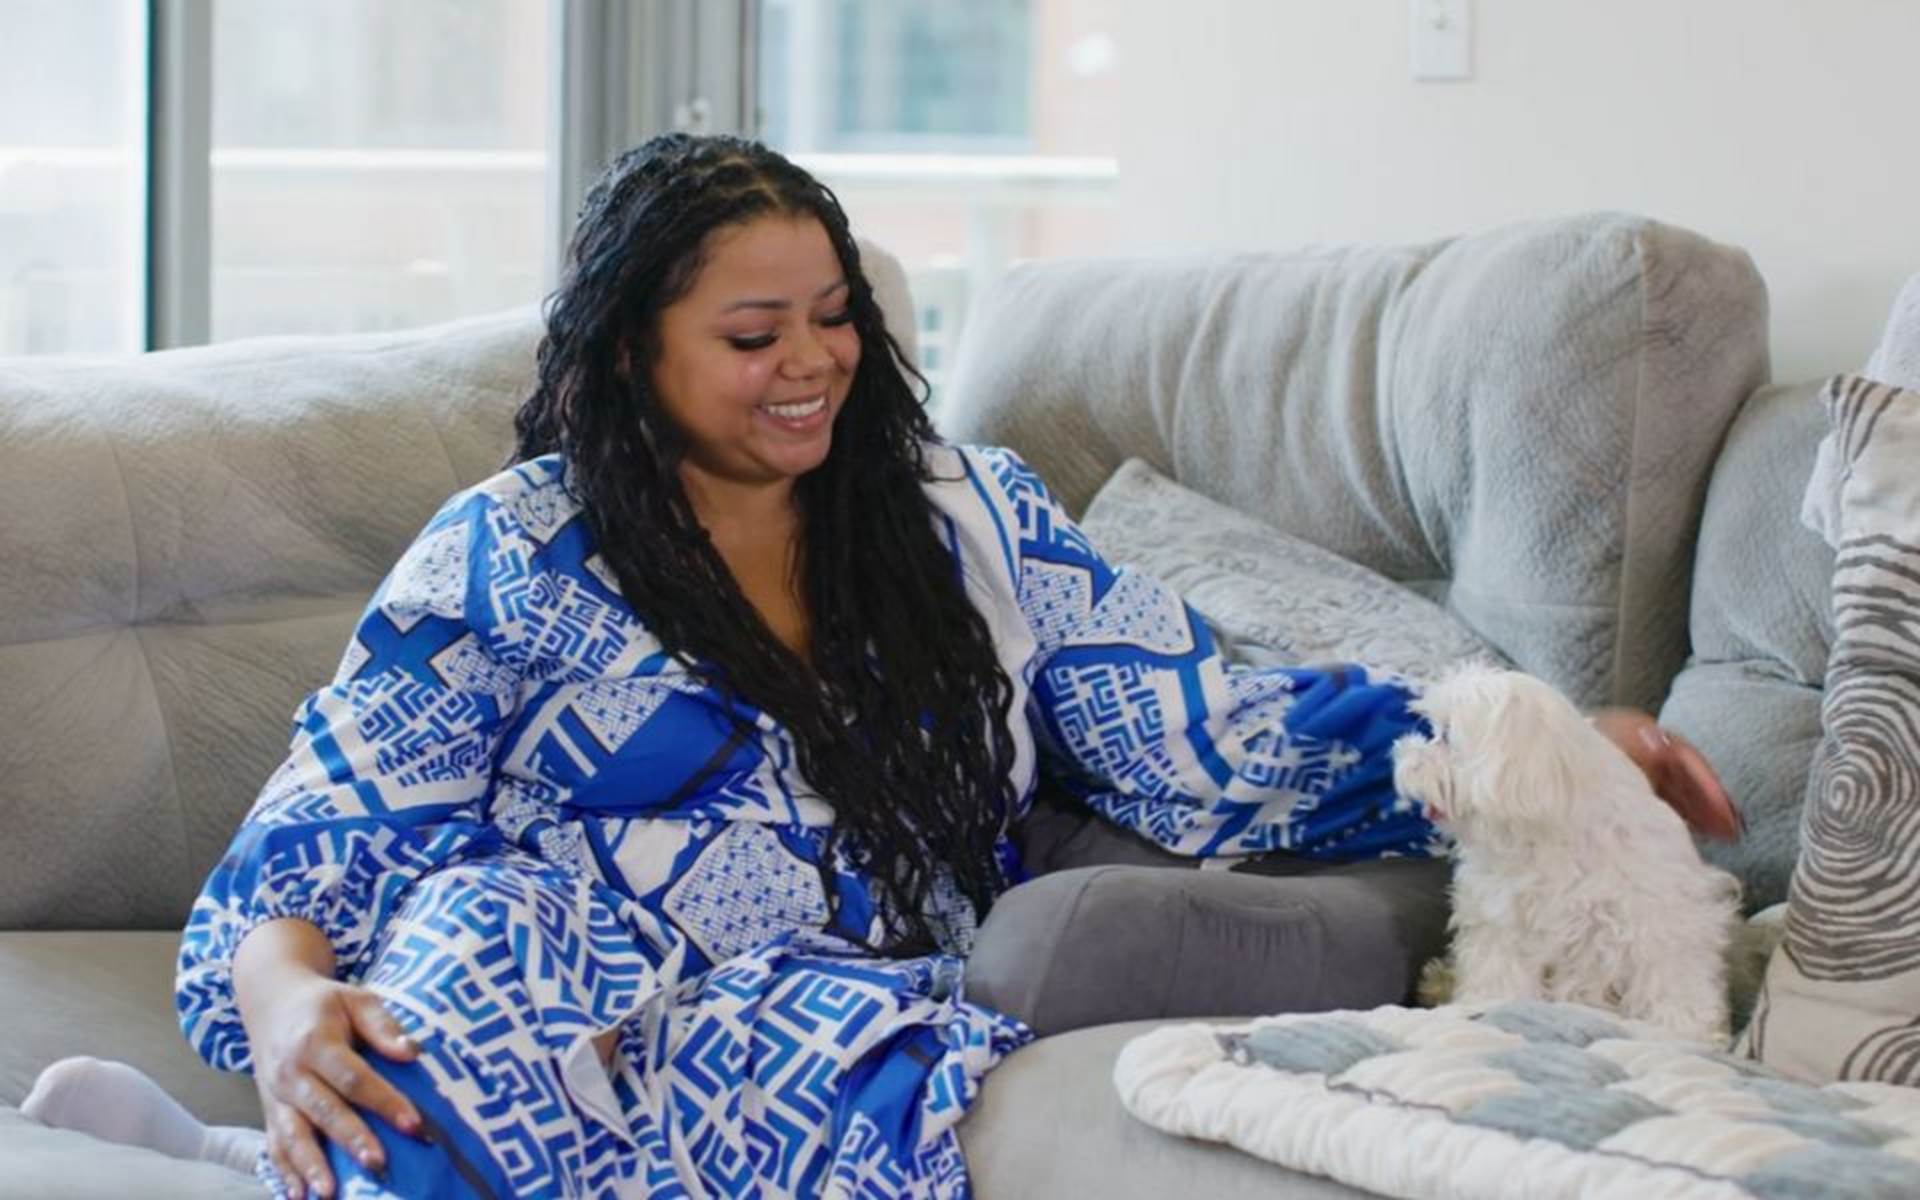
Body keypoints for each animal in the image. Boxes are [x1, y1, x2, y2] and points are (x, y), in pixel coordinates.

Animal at [1397, 660, 1743, 1044]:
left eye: (1446, 736)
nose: (1402, 753)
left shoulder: (1657, 920)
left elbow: (1671, 975)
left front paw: (1683, 1028)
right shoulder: (1501, 918)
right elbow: (1498, 969)